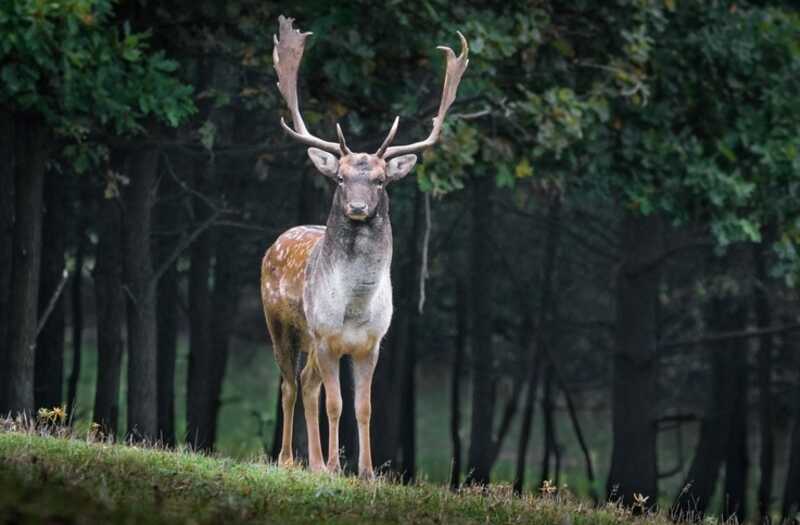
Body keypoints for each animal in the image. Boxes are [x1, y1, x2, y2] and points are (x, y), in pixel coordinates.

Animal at [260, 14, 466, 476]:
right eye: (339, 178)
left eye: (380, 180)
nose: (356, 207)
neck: (354, 307)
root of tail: (276, 241)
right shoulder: (326, 336)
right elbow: (336, 404)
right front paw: (338, 467)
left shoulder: (372, 343)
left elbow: (364, 407)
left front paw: (366, 472)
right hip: (281, 323)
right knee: (289, 384)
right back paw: (290, 459)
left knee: (306, 382)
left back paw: (315, 462)